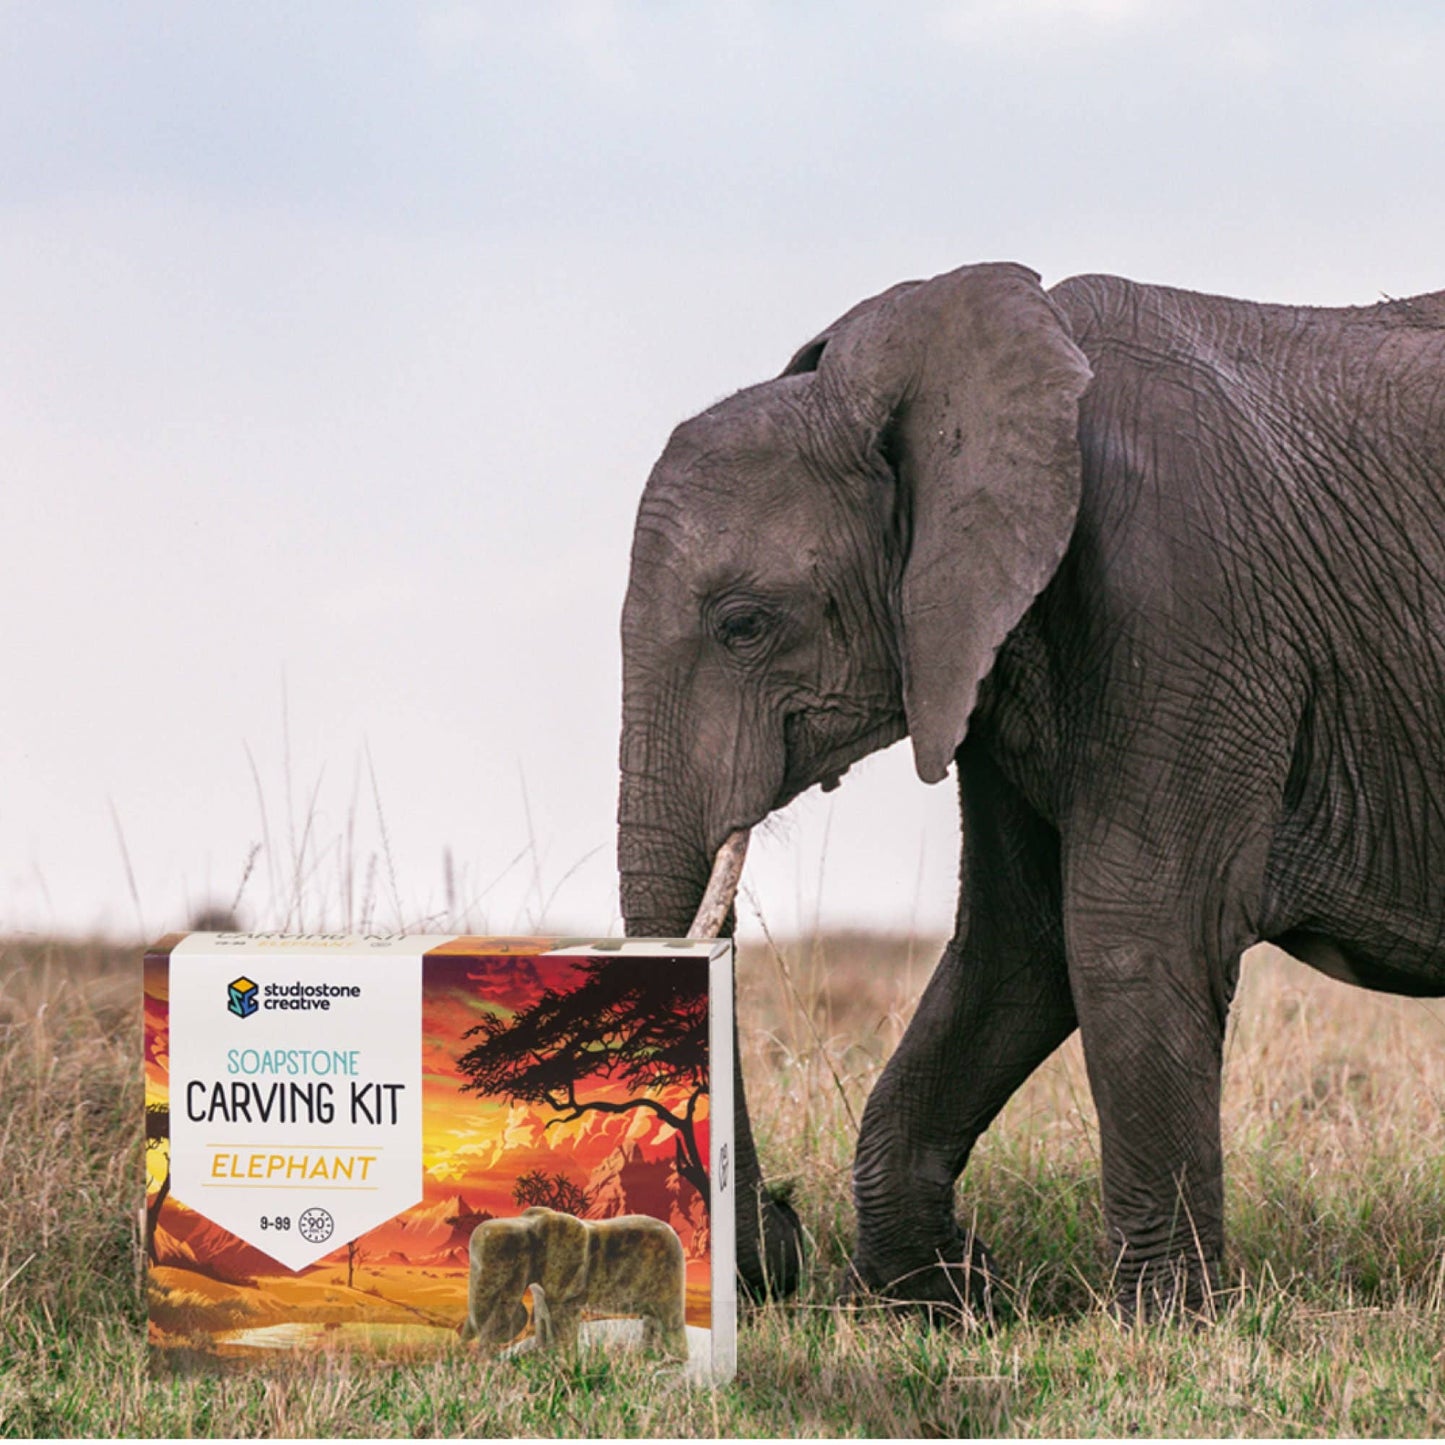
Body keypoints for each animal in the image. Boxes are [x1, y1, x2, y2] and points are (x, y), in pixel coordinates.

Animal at [459, 1206, 687, 1357]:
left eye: (516, 1258)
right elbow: (543, 1315)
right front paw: (542, 1361)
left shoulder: (570, 1280)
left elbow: (563, 1319)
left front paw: (561, 1368)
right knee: (652, 1318)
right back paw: (649, 1359)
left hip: (669, 1273)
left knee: (669, 1319)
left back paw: (672, 1363)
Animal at [617, 260, 1445, 1315]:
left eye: (744, 625)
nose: (785, 1231)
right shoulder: (983, 644)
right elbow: (1016, 943)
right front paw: (947, 1298)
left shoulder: (1181, 599)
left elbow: (1127, 931)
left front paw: (1160, 1321)